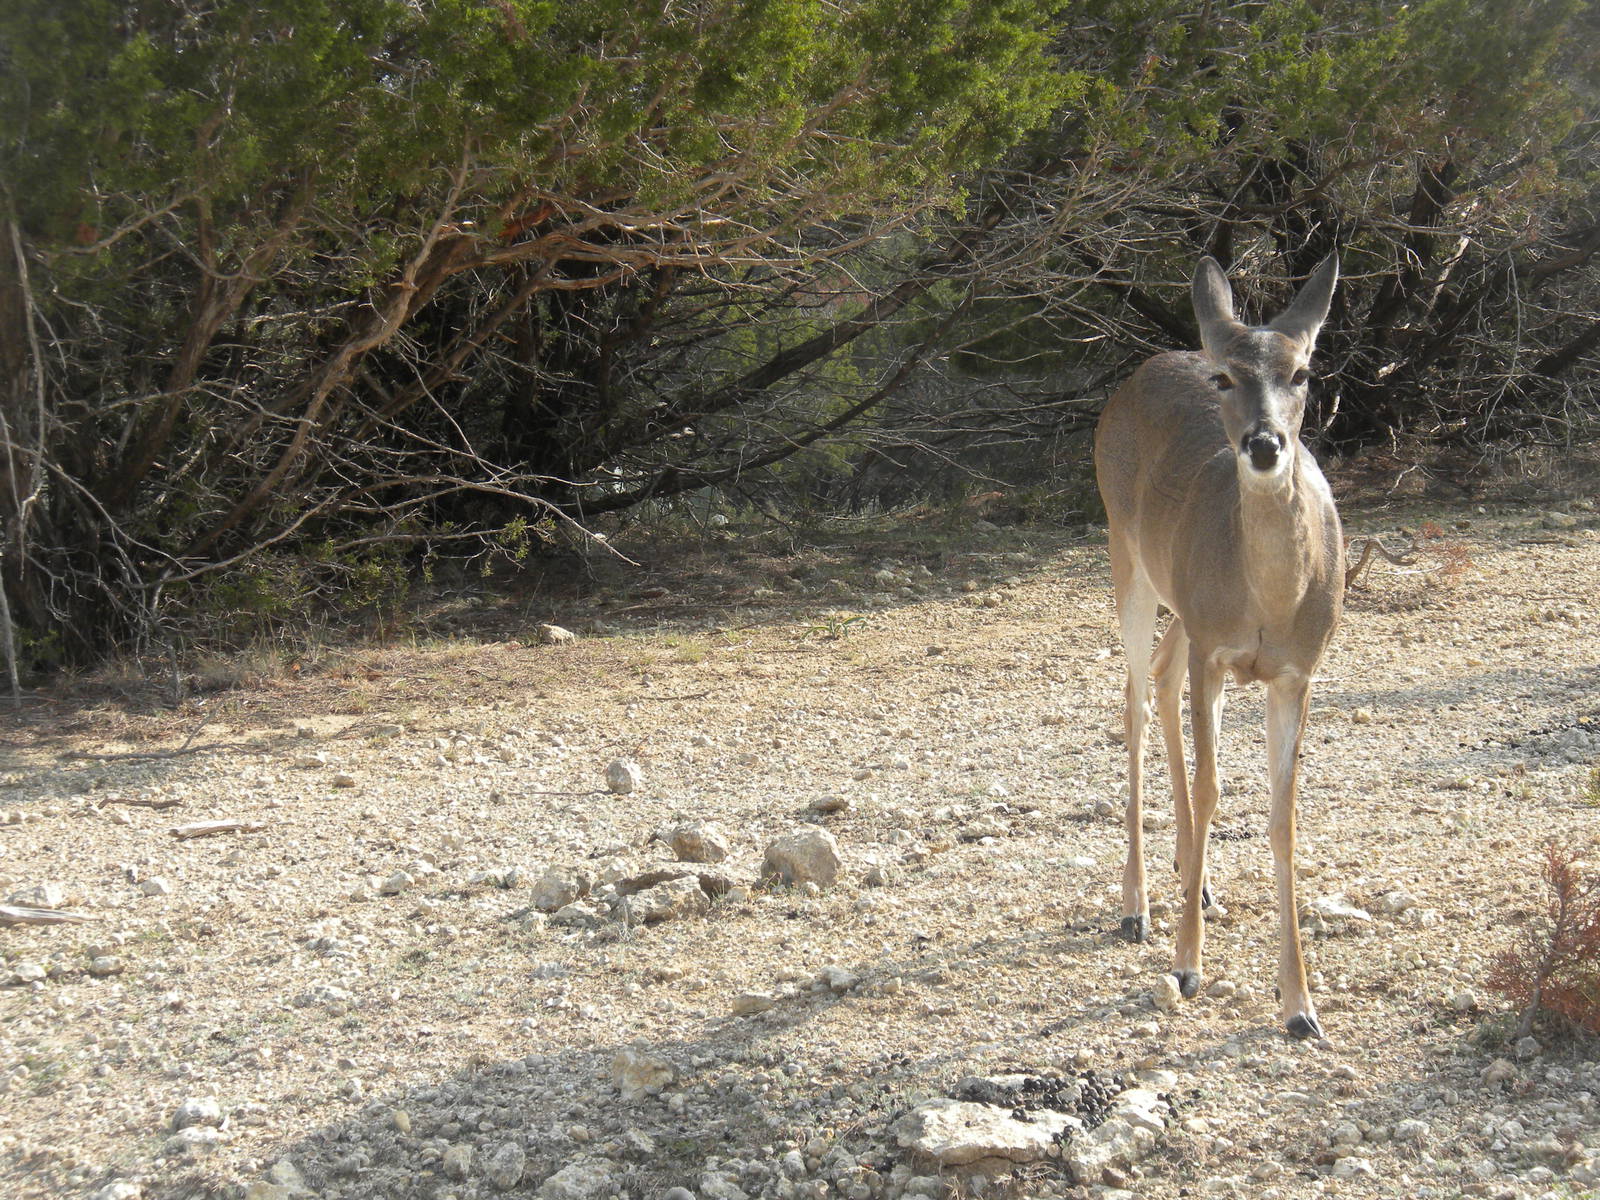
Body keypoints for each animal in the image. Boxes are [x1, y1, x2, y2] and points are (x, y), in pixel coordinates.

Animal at [1093, 252, 1343, 1041]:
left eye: (1303, 371)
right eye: (1225, 377)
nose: (1263, 445)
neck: (1269, 602)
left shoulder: (1296, 671)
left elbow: (1283, 812)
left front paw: (1300, 1007)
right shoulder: (1217, 652)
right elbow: (1210, 788)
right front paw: (1186, 966)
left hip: (1182, 603)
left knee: (1162, 672)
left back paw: (1191, 883)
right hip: (1126, 550)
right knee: (1136, 697)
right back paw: (1138, 905)